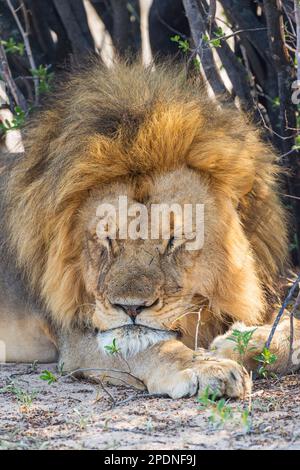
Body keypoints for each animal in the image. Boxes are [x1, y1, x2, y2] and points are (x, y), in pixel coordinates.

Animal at [0, 57, 298, 396]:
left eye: (173, 241)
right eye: (107, 240)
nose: (130, 308)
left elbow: (293, 324)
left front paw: (238, 344)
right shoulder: (76, 336)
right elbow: (154, 348)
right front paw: (209, 367)